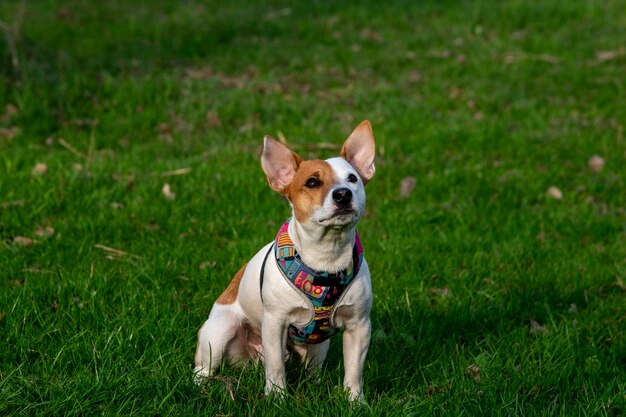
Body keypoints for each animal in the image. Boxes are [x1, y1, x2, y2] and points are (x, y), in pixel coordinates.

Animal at [193, 119, 372, 400]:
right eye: (312, 182)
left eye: (353, 179)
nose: (343, 194)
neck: (326, 257)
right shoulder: (275, 323)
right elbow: (276, 366)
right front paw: (277, 397)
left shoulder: (359, 326)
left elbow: (354, 370)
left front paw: (354, 401)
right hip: (219, 332)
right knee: (204, 368)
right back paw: (202, 386)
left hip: (319, 347)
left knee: (312, 368)